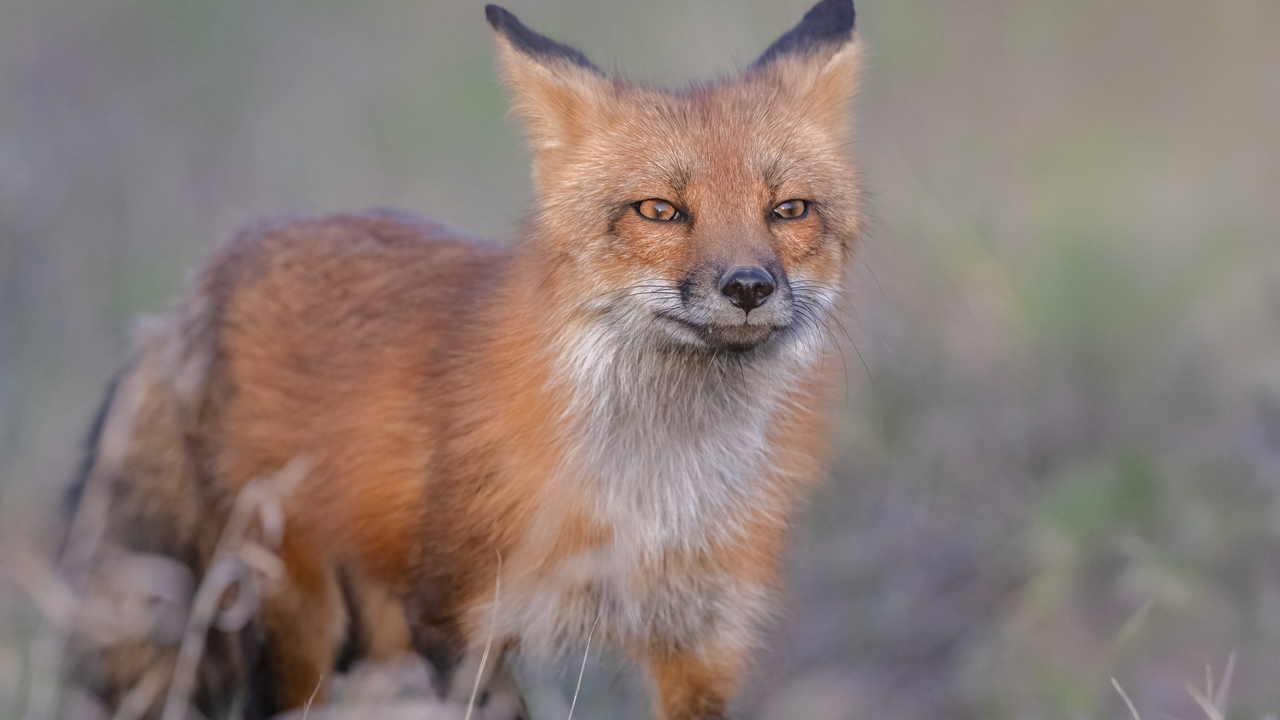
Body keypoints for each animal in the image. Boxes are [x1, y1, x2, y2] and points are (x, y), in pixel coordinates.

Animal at [60, 1, 864, 718]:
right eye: (660, 210)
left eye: (789, 210)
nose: (749, 287)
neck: (652, 490)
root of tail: (199, 280)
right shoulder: (461, 625)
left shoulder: (703, 639)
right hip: (298, 620)